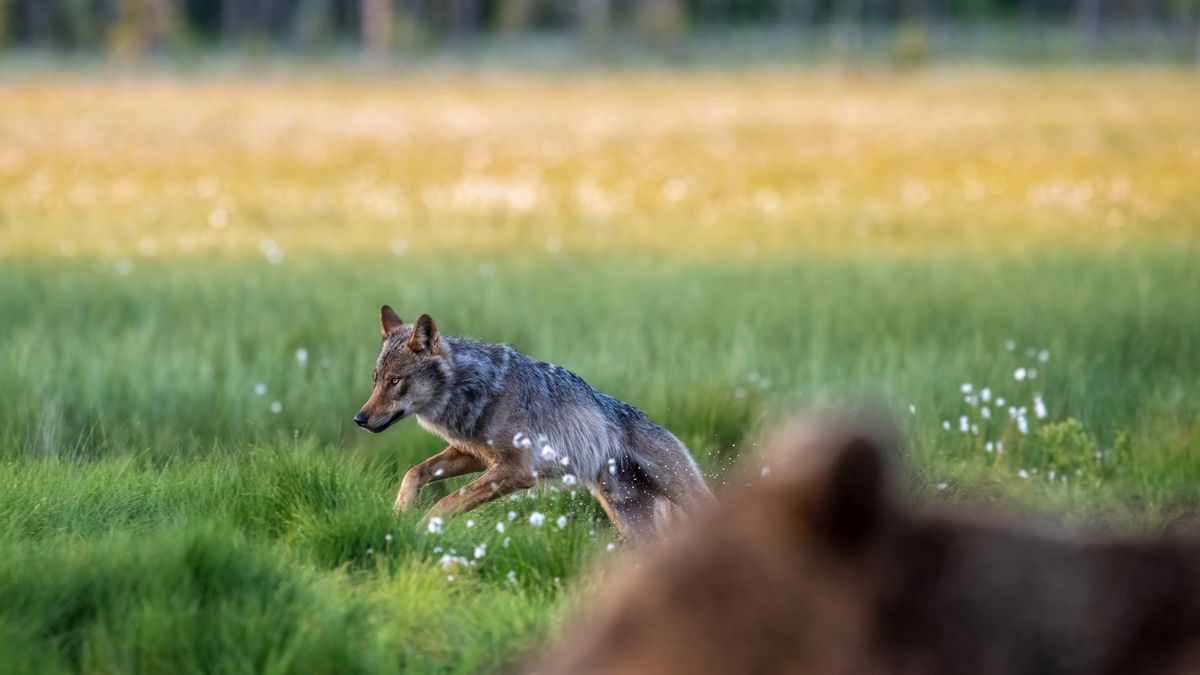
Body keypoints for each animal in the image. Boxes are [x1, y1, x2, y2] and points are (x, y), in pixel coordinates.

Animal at [353, 306, 713, 540]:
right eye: (376, 381)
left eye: (395, 381)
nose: (360, 418)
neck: (476, 388)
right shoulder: (476, 455)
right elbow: (414, 473)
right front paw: (399, 514)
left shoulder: (518, 470)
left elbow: (446, 501)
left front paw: (421, 529)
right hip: (630, 522)